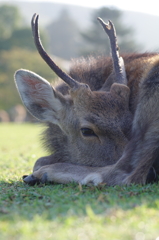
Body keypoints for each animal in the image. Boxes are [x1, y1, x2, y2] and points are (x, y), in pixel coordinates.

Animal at [14, 13, 159, 187]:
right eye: (86, 131)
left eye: (131, 122)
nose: (152, 172)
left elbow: (39, 161)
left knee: (126, 175)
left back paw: (43, 173)